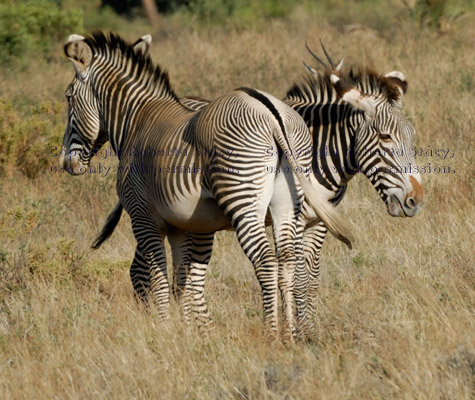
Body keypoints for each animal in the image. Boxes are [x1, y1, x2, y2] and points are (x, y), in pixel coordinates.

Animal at [59, 29, 352, 340]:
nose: (66, 162)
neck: (137, 121)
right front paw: (187, 332)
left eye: (68, 98)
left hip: (243, 199)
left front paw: (165, 330)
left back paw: (271, 333)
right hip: (288, 204)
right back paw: (290, 335)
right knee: (287, 260)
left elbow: (160, 279)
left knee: (265, 261)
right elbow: (181, 279)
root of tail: (271, 113)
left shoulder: (144, 220)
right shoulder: (180, 225)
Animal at [93, 40, 424, 340]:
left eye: (412, 138)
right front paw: (299, 331)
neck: (321, 150)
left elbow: (311, 276)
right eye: (385, 137)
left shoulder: (317, 224)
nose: (416, 200)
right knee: (140, 266)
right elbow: (297, 275)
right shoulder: (297, 219)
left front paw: (308, 328)